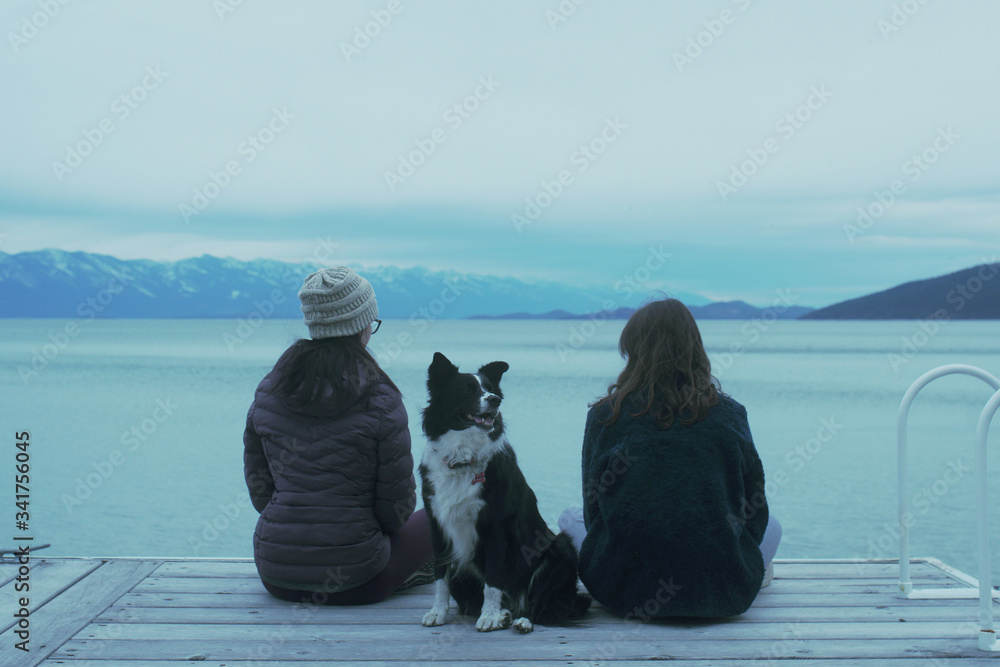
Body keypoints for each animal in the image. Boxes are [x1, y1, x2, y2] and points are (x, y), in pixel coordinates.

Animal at [418, 352, 588, 636]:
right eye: (467, 389)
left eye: (490, 389)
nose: (495, 400)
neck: (462, 459)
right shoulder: (437, 525)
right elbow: (441, 577)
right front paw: (437, 612)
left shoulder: (495, 529)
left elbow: (493, 579)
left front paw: (488, 617)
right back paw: (505, 615)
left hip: (561, 549)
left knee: (537, 602)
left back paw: (520, 620)